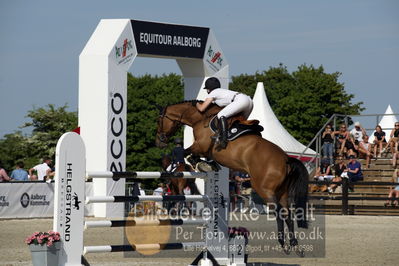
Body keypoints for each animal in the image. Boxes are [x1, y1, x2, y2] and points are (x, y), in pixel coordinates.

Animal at [156, 100, 310, 254]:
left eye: (159, 120)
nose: (159, 141)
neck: (201, 118)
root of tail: (286, 159)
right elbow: (194, 155)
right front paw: (208, 164)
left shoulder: (200, 145)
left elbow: (185, 152)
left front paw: (201, 164)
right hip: (282, 192)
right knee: (288, 214)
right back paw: (295, 245)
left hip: (264, 189)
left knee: (279, 213)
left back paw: (283, 244)